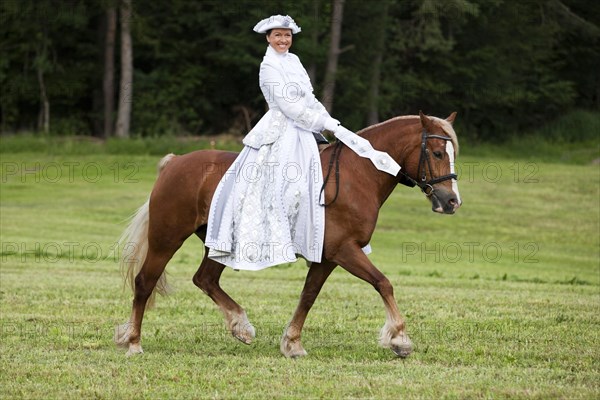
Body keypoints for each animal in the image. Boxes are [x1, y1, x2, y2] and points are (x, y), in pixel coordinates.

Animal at [115, 111, 462, 358]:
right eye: (436, 153)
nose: (451, 201)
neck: (356, 176)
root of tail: (175, 163)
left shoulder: (327, 258)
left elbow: (308, 296)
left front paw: (292, 343)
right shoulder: (345, 251)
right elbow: (383, 283)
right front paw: (399, 338)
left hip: (220, 245)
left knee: (205, 279)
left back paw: (240, 325)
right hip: (166, 239)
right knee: (144, 283)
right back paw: (133, 342)